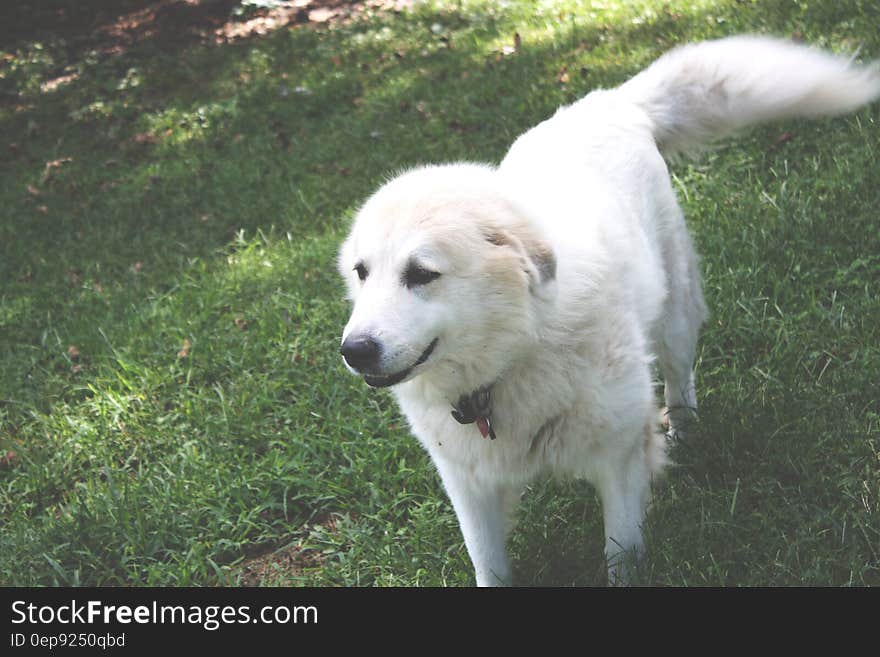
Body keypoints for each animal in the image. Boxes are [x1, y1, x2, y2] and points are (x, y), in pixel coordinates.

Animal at [336, 36, 880, 584]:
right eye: (362, 272)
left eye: (422, 273)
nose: (353, 351)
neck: (517, 356)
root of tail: (610, 102)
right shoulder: (471, 484)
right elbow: (489, 566)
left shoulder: (617, 459)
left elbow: (619, 553)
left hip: (675, 318)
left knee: (680, 381)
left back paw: (683, 434)